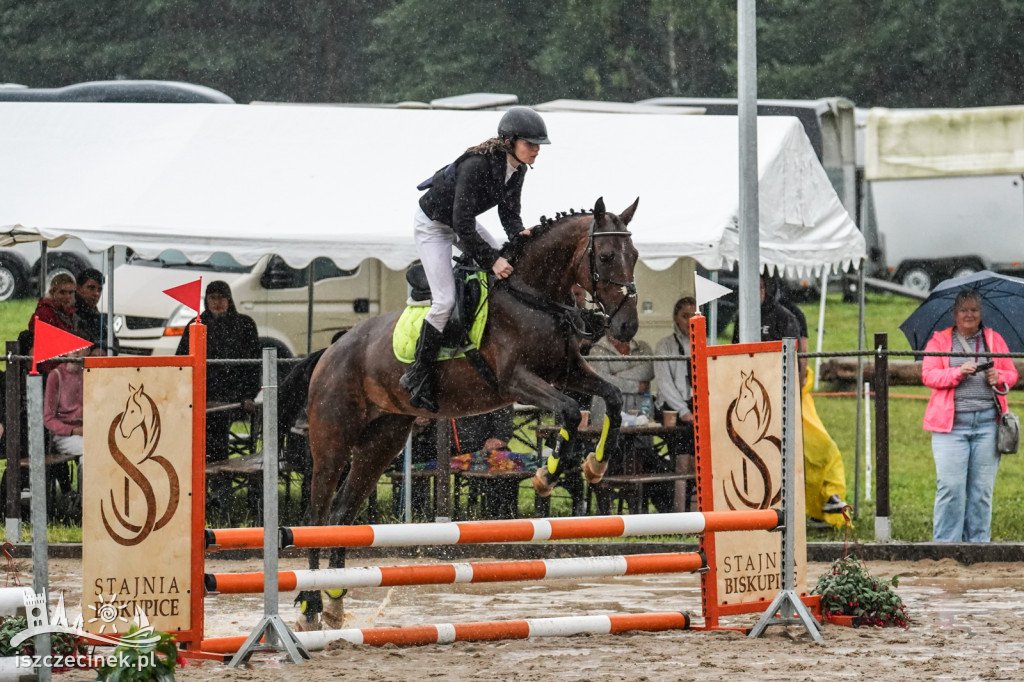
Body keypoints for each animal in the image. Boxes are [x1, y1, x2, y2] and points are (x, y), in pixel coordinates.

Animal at [294, 193, 638, 622]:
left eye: (635, 255)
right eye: (606, 257)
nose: (626, 327)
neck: (533, 297)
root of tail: (328, 353)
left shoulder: (567, 371)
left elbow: (613, 397)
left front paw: (595, 465)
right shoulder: (516, 380)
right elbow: (571, 412)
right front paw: (547, 475)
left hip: (382, 441)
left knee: (343, 512)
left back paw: (335, 601)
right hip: (333, 441)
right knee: (317, 514)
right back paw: (310, 603)